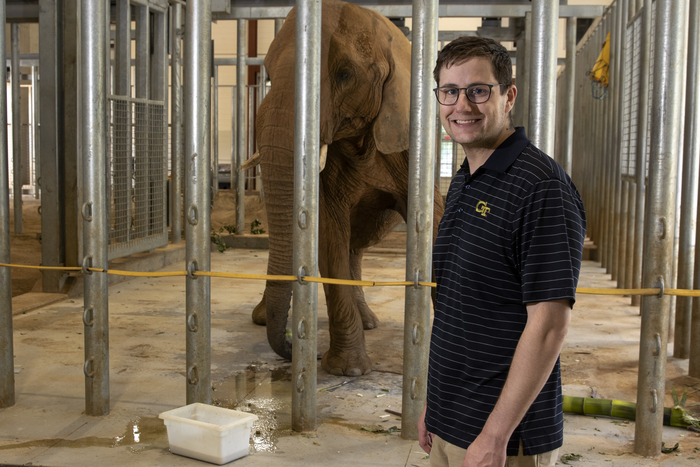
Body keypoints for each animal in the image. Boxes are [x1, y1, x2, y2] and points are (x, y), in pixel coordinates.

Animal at [246, 0, 442, 376]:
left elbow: (439, 224)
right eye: (268, 74)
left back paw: (370, 323)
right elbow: (329, 235)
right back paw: (262, 318)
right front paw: (348, 371)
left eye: (345, 74)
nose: (293, 346)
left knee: (358, 244)